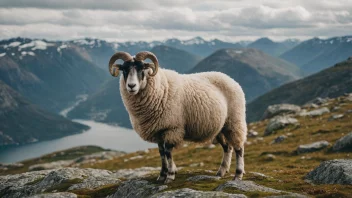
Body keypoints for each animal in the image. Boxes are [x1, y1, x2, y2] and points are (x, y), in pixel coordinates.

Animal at [108, 51, 248, 184]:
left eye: (142, 68)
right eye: (124, 69)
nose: (131, 86)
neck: (161, 88)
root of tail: (231, 79)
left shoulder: (172, 128)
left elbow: (168, 152)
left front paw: (170, 176)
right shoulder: (159, 131)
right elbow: (161, 153)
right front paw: (162, 175)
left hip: (235, 121)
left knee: (239, 148)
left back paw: (238, 175)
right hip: (220, 127)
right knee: (227, 147)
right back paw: (221, 172)